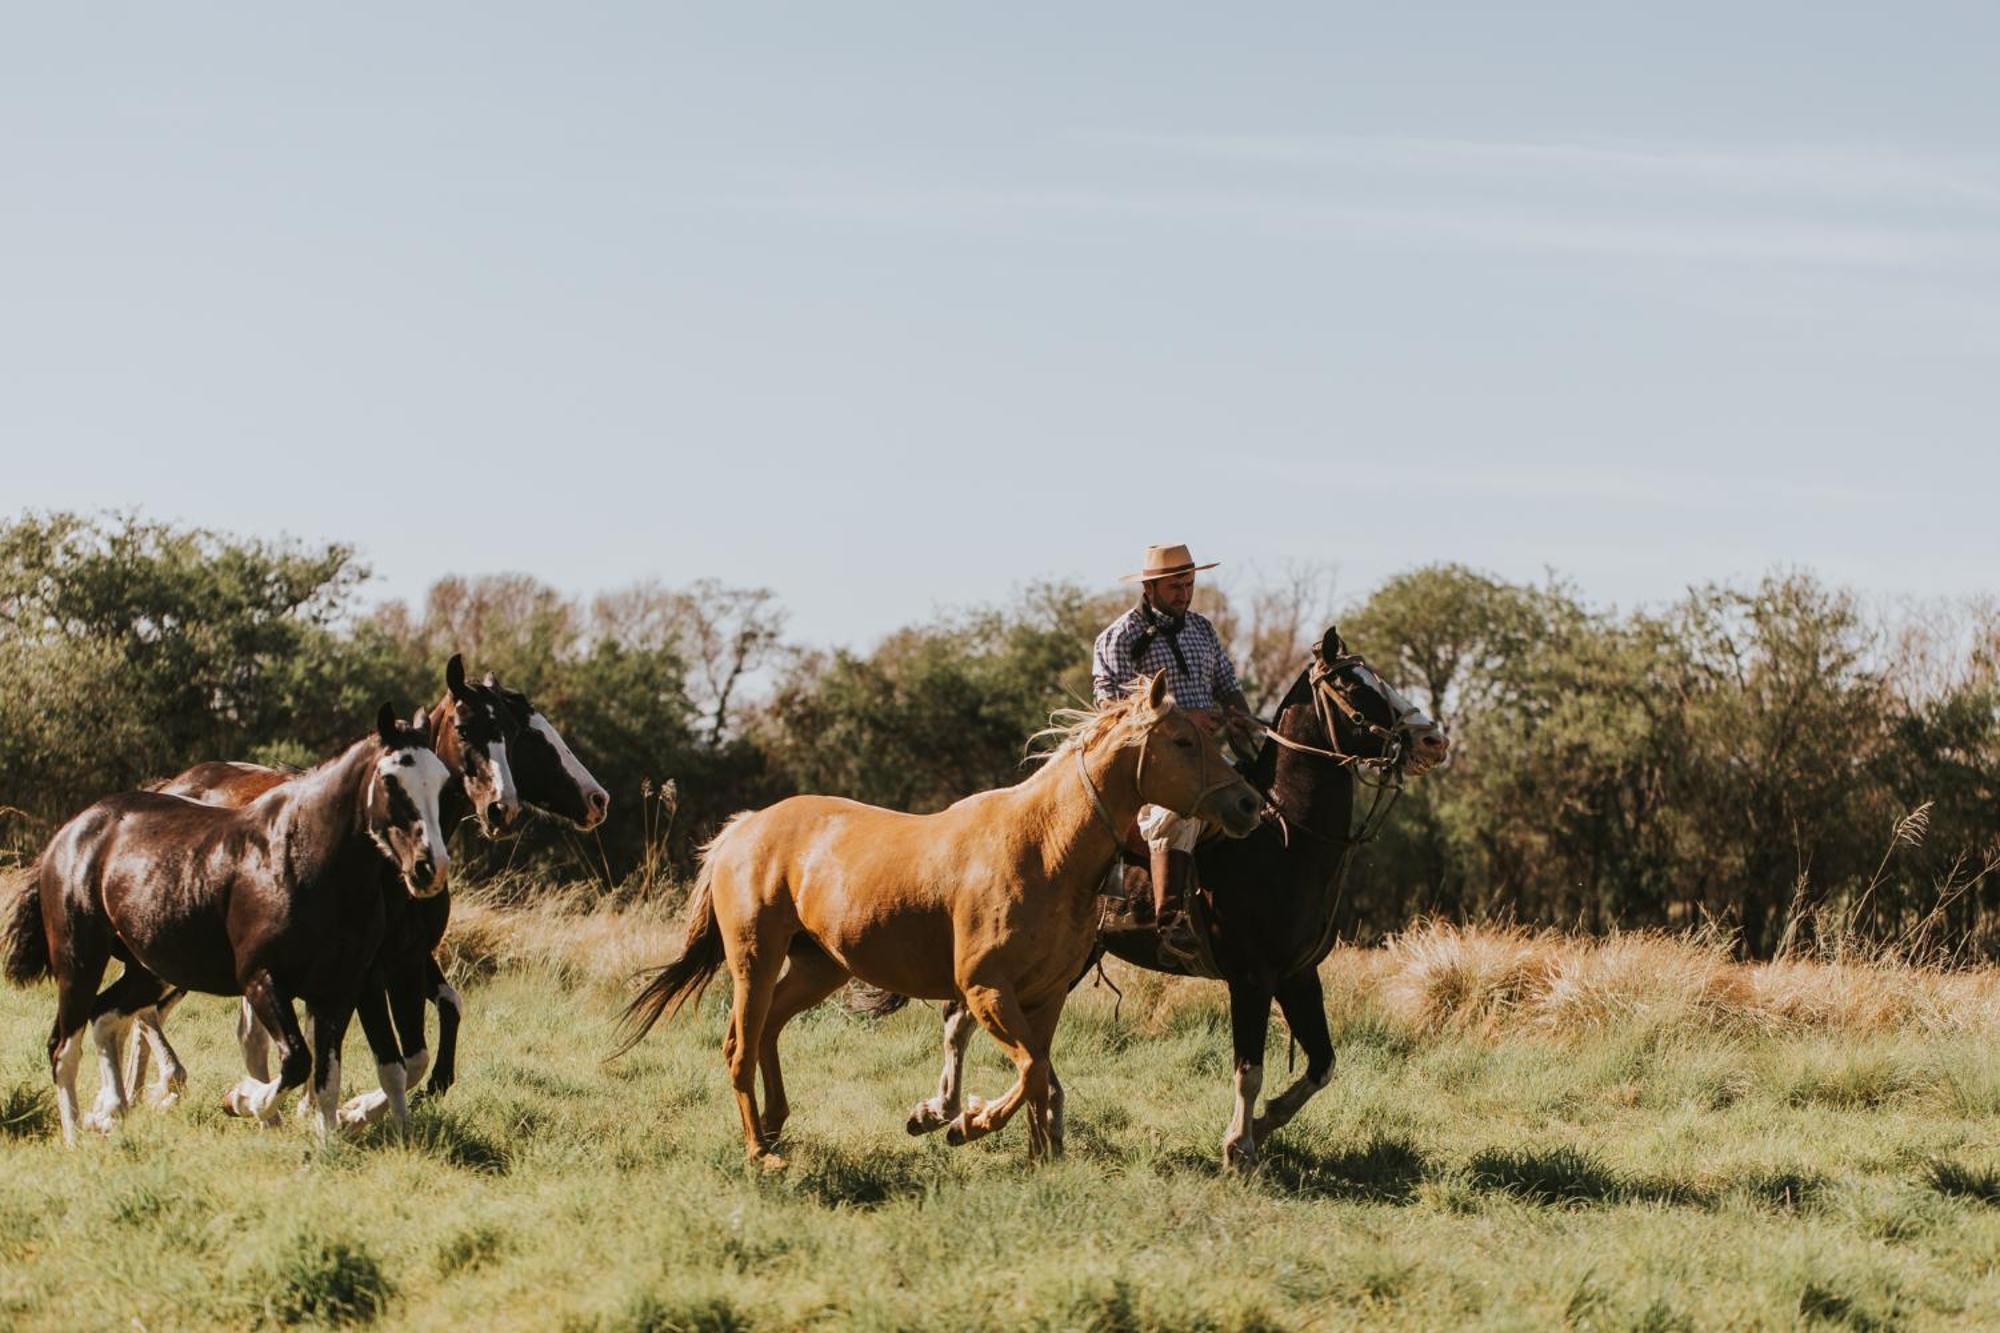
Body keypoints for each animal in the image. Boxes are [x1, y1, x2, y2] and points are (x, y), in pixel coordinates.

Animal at [2, 704, 450, 1144]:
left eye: (442, 780)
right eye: (391, 779)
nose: (430, 868)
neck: (301, 859)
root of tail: (70, 832)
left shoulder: (343, 986)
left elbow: (328, 1078)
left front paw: (328, 1138)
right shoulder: (261, 979)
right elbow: (297, 1061)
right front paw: (243, 1098)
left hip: (149, 971)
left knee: (104, 1017)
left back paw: (110, 1112)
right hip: (79, 963)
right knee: (64, 1048)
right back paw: (77, 1137)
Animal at [616, 668, 1256, 1160]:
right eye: (1183, 742)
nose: (1248, 803)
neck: (1042, 847)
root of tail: (742, 830)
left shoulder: (1045, 996)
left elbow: (1039, 1072)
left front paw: (1034, 1154)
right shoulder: (983, 989)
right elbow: (1029, 1070)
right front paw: (964, 1124)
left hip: (821, 968)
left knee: (769, 1028)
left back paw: (775, 1129)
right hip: (754, 960)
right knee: (740, 1046)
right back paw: (760, 1152)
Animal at [912, 628, 1456, 1168]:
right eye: (1351, 685)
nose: (1433, 739)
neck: (1283, 839)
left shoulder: (1299, 975)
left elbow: (1322, 1064)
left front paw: (1265, 1122)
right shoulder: (1252, 979)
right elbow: (1250, 1070)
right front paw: (1239, 1146)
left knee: (1013, 1038)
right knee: (966, 1019)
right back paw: (943, 1112)